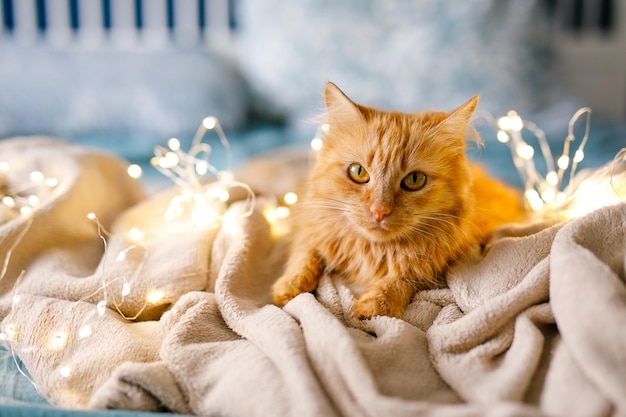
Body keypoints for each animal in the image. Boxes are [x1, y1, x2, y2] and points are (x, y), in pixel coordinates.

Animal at [270, 82, 524, 318]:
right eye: (358, 172)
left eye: (414, 179)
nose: (379, 211)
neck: (372, 251)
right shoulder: (312, 226)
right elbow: (305, 254)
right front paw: (289, 286)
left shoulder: (443, 263)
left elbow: (406, 276)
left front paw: (376, 304)